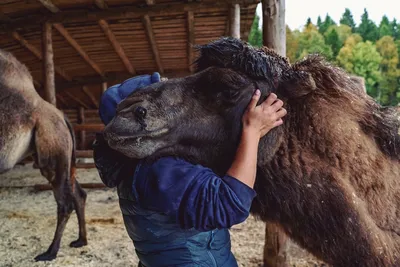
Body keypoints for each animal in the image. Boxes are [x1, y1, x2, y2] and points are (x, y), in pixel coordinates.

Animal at [0, 49, 87, 262]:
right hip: (63, 158)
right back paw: (80, 241)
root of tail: (62, 117)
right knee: (78, 193)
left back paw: (50, 252)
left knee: (65, 203)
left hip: (53, 154)